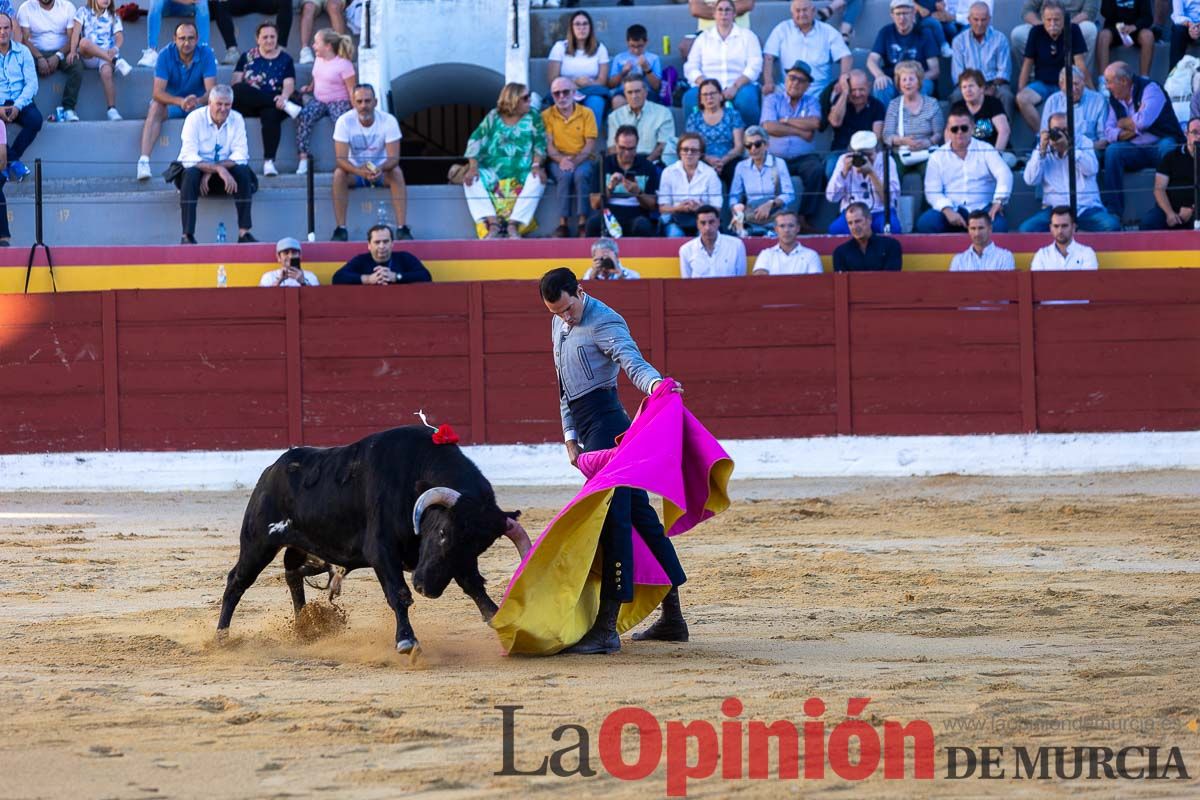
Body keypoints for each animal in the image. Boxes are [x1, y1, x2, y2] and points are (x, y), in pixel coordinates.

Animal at [214, 422, 530, 652]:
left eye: (478, 548)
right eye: (442, 532)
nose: (426, 588)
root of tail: (272, 469)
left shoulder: (456, 563)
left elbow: (475, 587)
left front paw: (503, 622)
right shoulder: (381, 549)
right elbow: (398, 593)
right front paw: (406, 640)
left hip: (304, 545)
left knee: (293, 573)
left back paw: (305, 626)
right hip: (258, 541)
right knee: (237, 581)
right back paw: (221, 636)